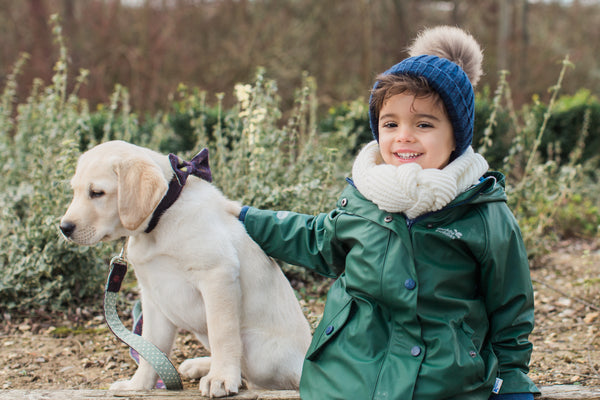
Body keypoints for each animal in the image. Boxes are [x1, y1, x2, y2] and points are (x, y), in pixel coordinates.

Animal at [60, 141, 312, 396]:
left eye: (97, 193)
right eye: (74, 191)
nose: (64, 227)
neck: (161, 220)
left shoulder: (217, 275)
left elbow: (223, 334)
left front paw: (221, 377)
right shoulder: (154, 297)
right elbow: (150, 350)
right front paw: (137, 386)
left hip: (258, 350)